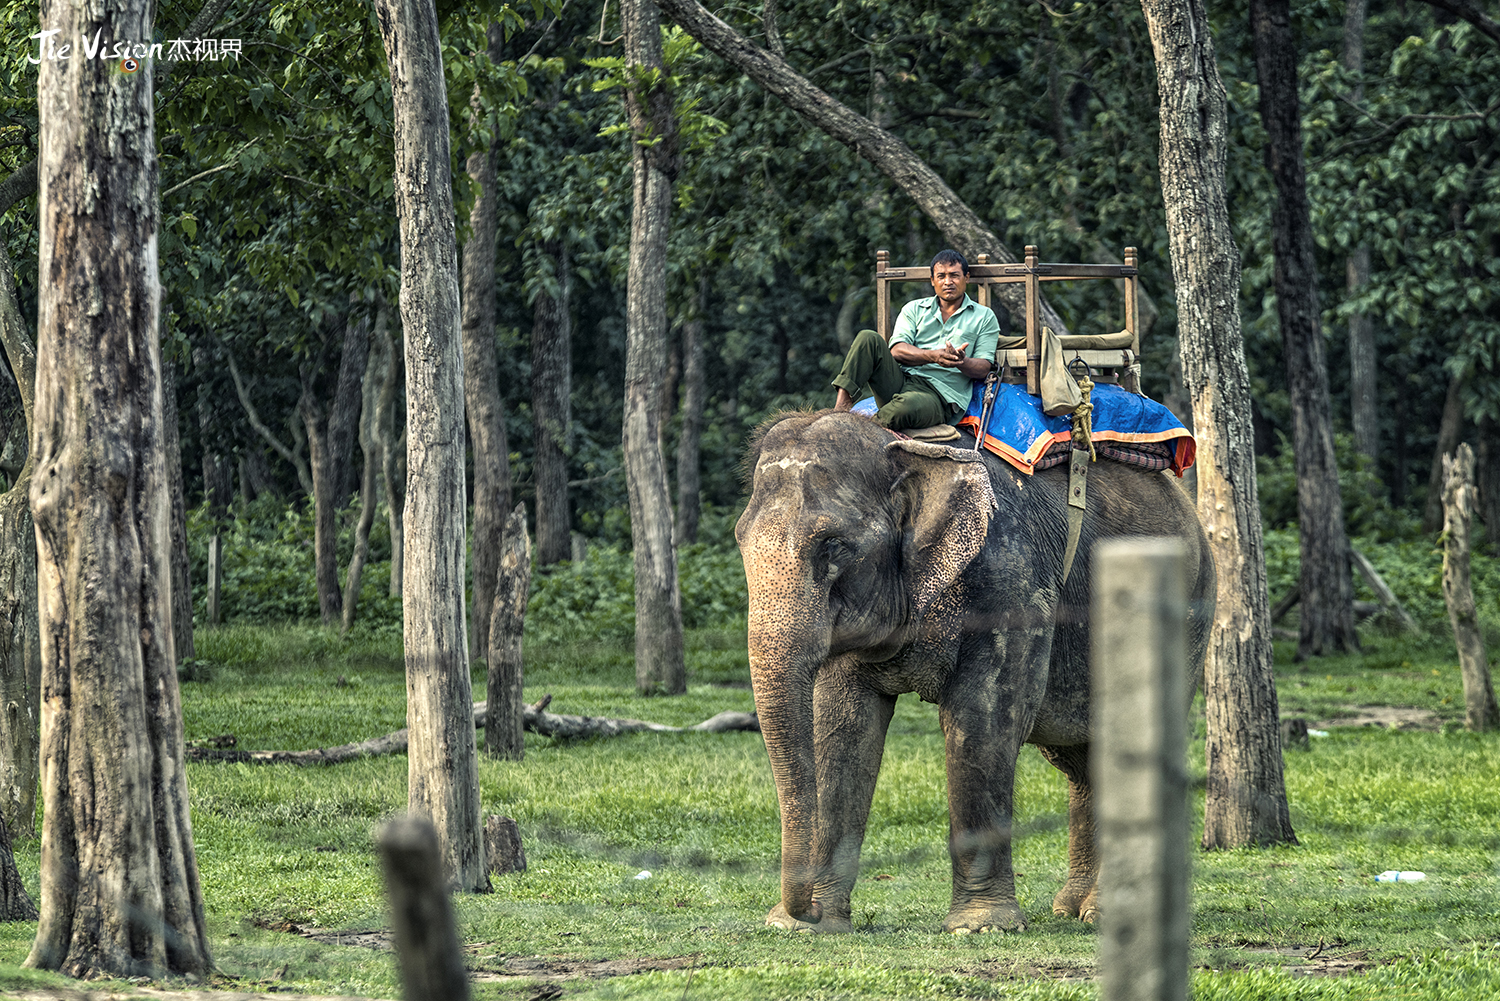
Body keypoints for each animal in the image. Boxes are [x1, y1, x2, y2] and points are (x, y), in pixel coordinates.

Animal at [732, 411, 1212, 936]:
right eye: (740, 539)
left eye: (833, 545)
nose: (804, 909)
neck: (908, 449)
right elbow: (841, 727)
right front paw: (806, 927)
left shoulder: (1012, 580)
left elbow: (982, 720)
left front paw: (982, 926)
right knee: (1082, 760)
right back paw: (1075, 909)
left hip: (1187, 611)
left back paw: (1112, 914)